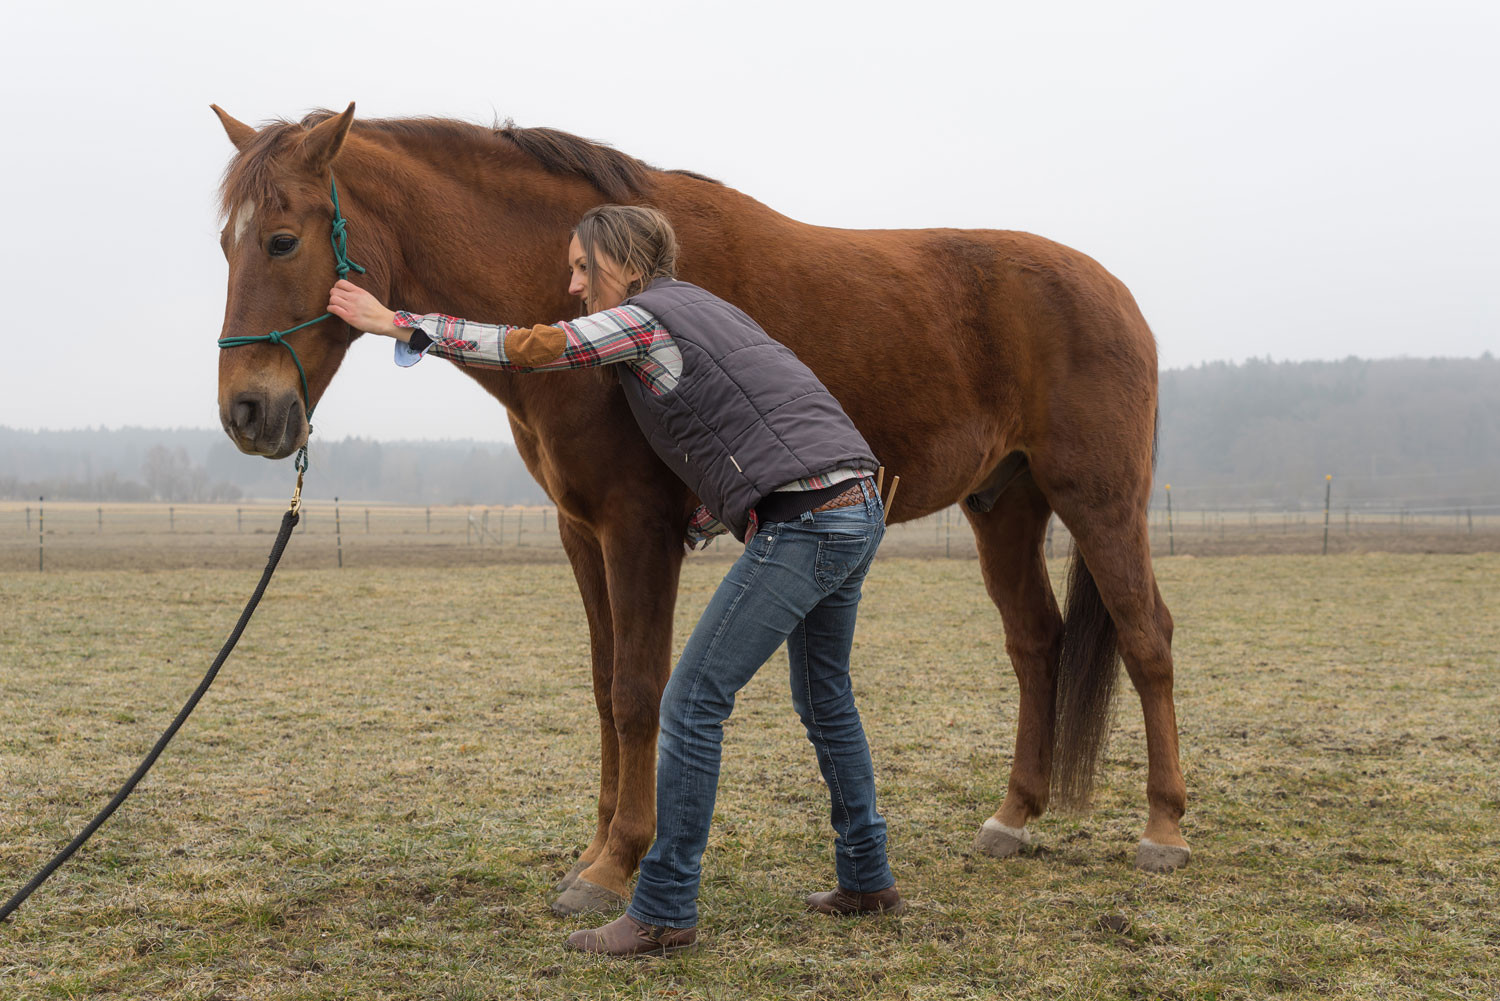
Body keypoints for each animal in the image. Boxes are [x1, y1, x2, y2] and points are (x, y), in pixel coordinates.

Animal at [214, 103, 1194, 918]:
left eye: (282, 241)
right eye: (226, 244)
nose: (247, 413)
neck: (571, 299)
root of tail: (1114, 293)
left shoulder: (638, 530)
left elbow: (640, 690)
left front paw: (618, 863)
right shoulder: (583, 533)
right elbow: (604, 689)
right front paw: (592, 849)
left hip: (1100, 501)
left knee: (1146, 635)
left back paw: (1163, 829)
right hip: (1004, 505)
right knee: (1036, 642)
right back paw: (1013, 817)